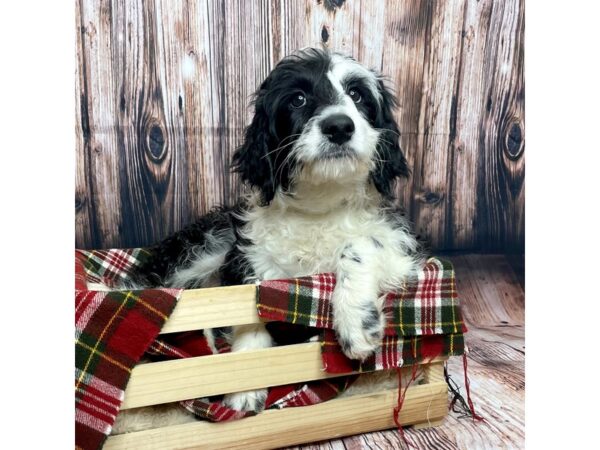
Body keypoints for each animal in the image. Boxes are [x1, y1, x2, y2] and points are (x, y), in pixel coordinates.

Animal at [129, 48, 424, 414]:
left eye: (357, 95)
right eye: (298, 99)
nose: (339, 126)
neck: (319, 206)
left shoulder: (403, 248)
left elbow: (358, 245)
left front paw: (356, 320)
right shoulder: (247, 257)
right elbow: (248, 307)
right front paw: (244, 382)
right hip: (205, 247)